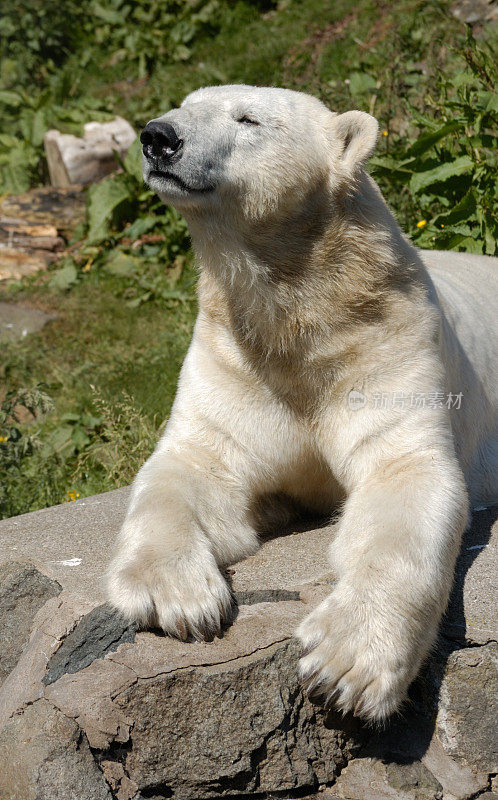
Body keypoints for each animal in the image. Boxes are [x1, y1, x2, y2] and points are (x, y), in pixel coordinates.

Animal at [108, 84, 498, 720]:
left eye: (247, 118)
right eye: (186, 104)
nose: (159, 137)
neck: (301, 308)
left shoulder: (387, 341)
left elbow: (405, 476)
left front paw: (347, 663)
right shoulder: (232, 357)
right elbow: (192, 466)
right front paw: (174, 597)